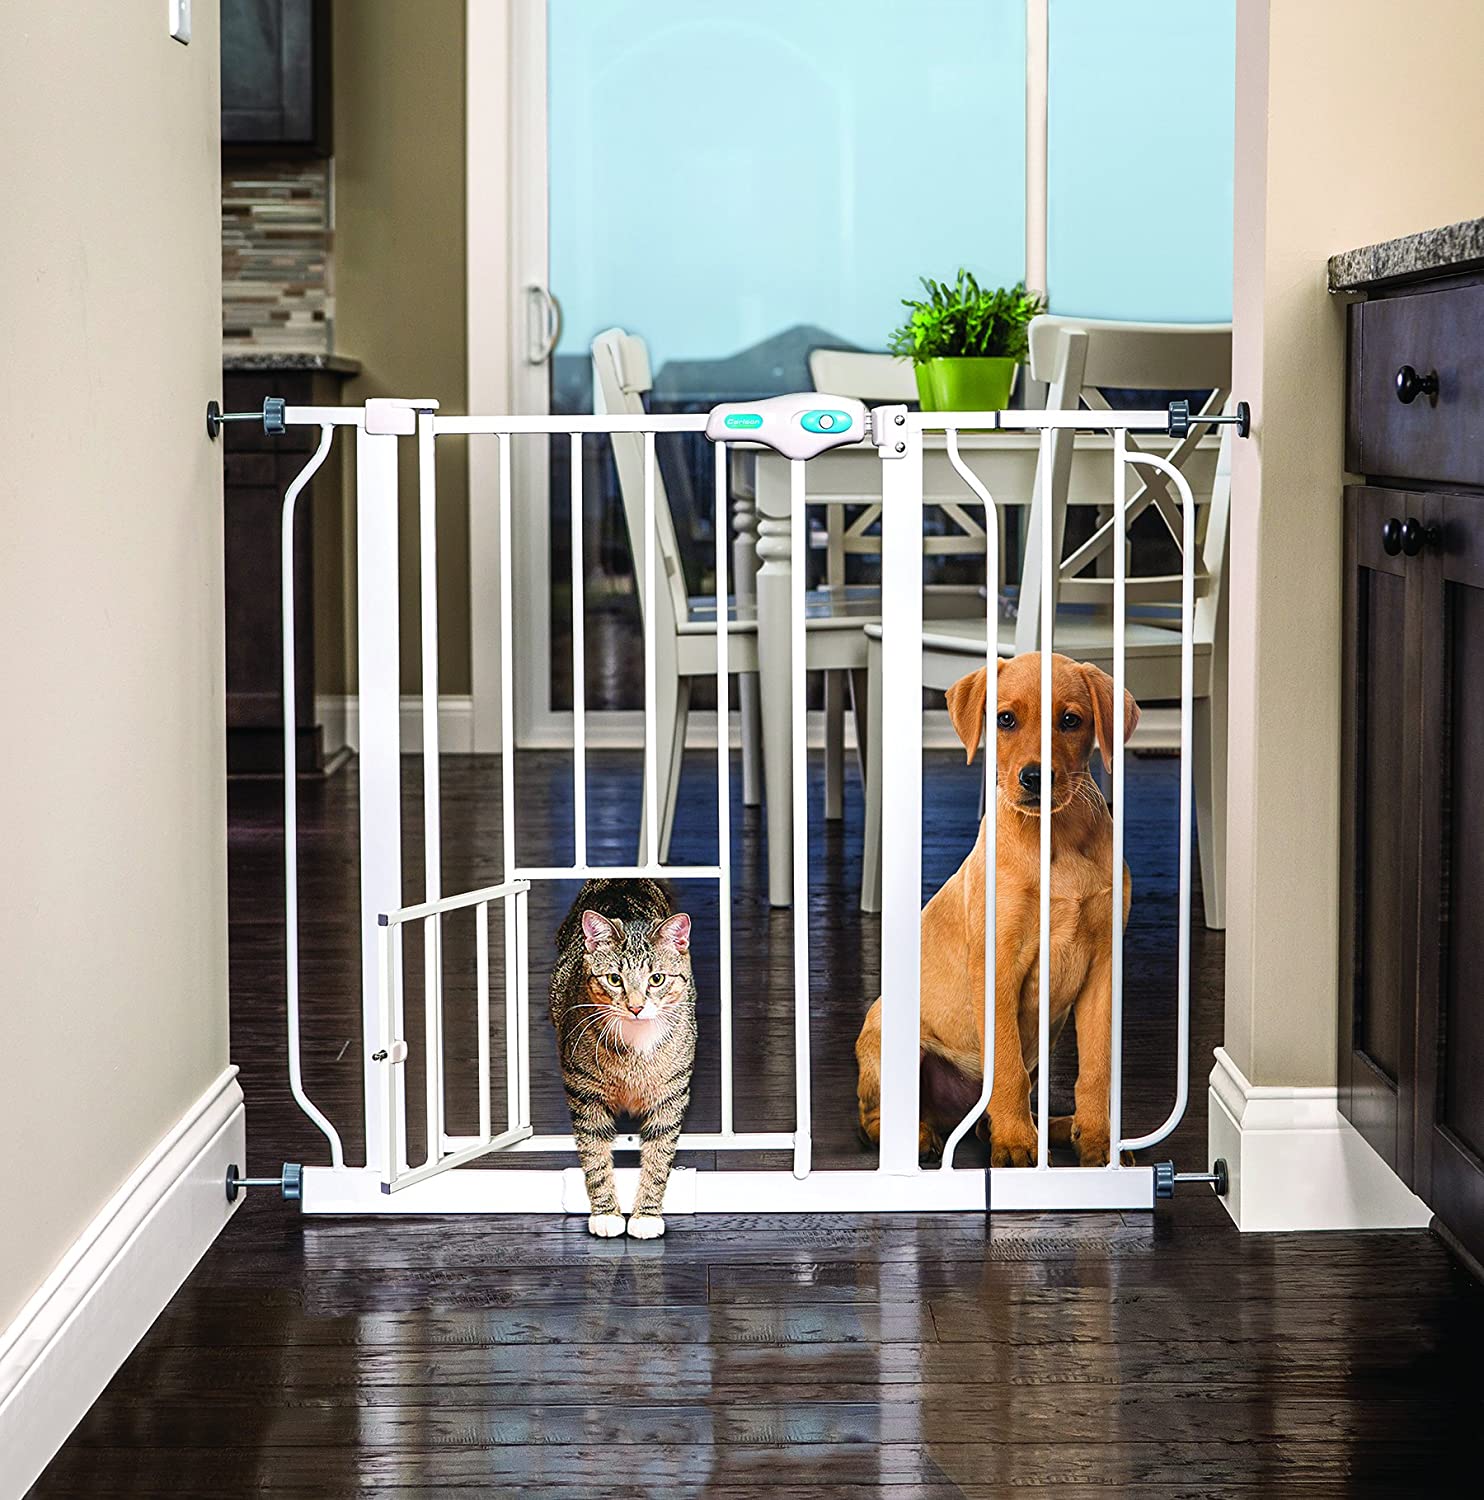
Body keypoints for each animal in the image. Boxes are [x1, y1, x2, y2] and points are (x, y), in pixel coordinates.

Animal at [546, 876, 699, 1236]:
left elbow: (659, 1155)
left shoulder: (671, 1095)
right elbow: (594, 1154)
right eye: (615, 979)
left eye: (656, 978)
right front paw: (606, 1213)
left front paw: (646, 1216)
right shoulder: (584, 1091)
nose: (636, 1007)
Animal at [858, 651, 1134, 1164]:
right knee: (876, 1120)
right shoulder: (999, 966)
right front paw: (1016, 1144)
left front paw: (1098, 1140)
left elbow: (1096, 1069)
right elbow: (1006, 1065)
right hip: (891, 1040)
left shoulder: (1103, 972)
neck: (1056, 840)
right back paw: (922, 1138)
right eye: (1005, 719)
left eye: (1070, 721)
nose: (1034, 777)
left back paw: (1053, 1128)